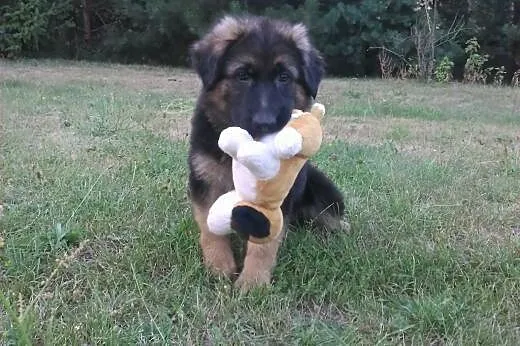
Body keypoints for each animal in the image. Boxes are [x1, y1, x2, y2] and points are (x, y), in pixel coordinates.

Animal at [187, 15, 346, 292]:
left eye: (284, 77)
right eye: (242, 75)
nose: (266, 123)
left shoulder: (279, 196)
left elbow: (265, 243)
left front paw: (253, 283)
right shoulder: (205, 180)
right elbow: (210, 229)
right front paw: (219, 268)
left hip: (319, 186)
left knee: (330, 216)